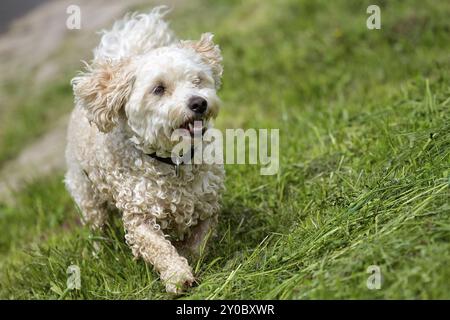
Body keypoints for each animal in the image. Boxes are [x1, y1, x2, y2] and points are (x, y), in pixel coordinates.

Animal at [64, 6, 224, 292]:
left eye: (197, 80)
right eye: (159, 89)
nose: (198, 103)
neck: (172, 162)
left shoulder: (208, 204)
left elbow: (200, 239)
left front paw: (188, 254)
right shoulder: (140, 218)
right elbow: (158, 247)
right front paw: (177, 276)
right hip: (87, 196)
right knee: (97, 228)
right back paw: (100, 252)